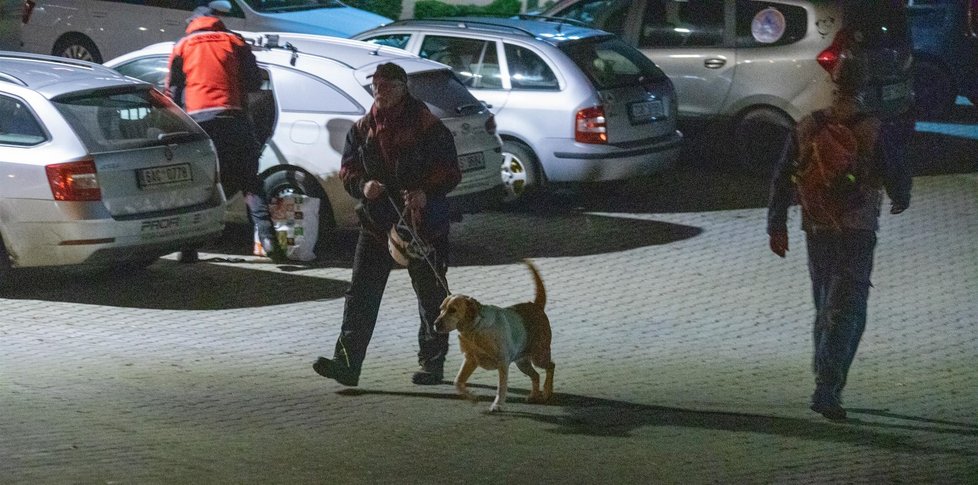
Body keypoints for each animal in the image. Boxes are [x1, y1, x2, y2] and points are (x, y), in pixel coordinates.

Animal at [432, 260, 552, 410]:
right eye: (441, 309)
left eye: (452, 310)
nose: (435, 324)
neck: (474, 329)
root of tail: (536, 305)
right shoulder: (470, 360)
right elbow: (458, 382)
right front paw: (472, 397)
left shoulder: (502, 363)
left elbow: (501, 387)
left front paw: (497, 404)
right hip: (522, 362)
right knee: (536, 375)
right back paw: (533, 396)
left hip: (538, 356)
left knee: (551, 367)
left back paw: (547, 392)